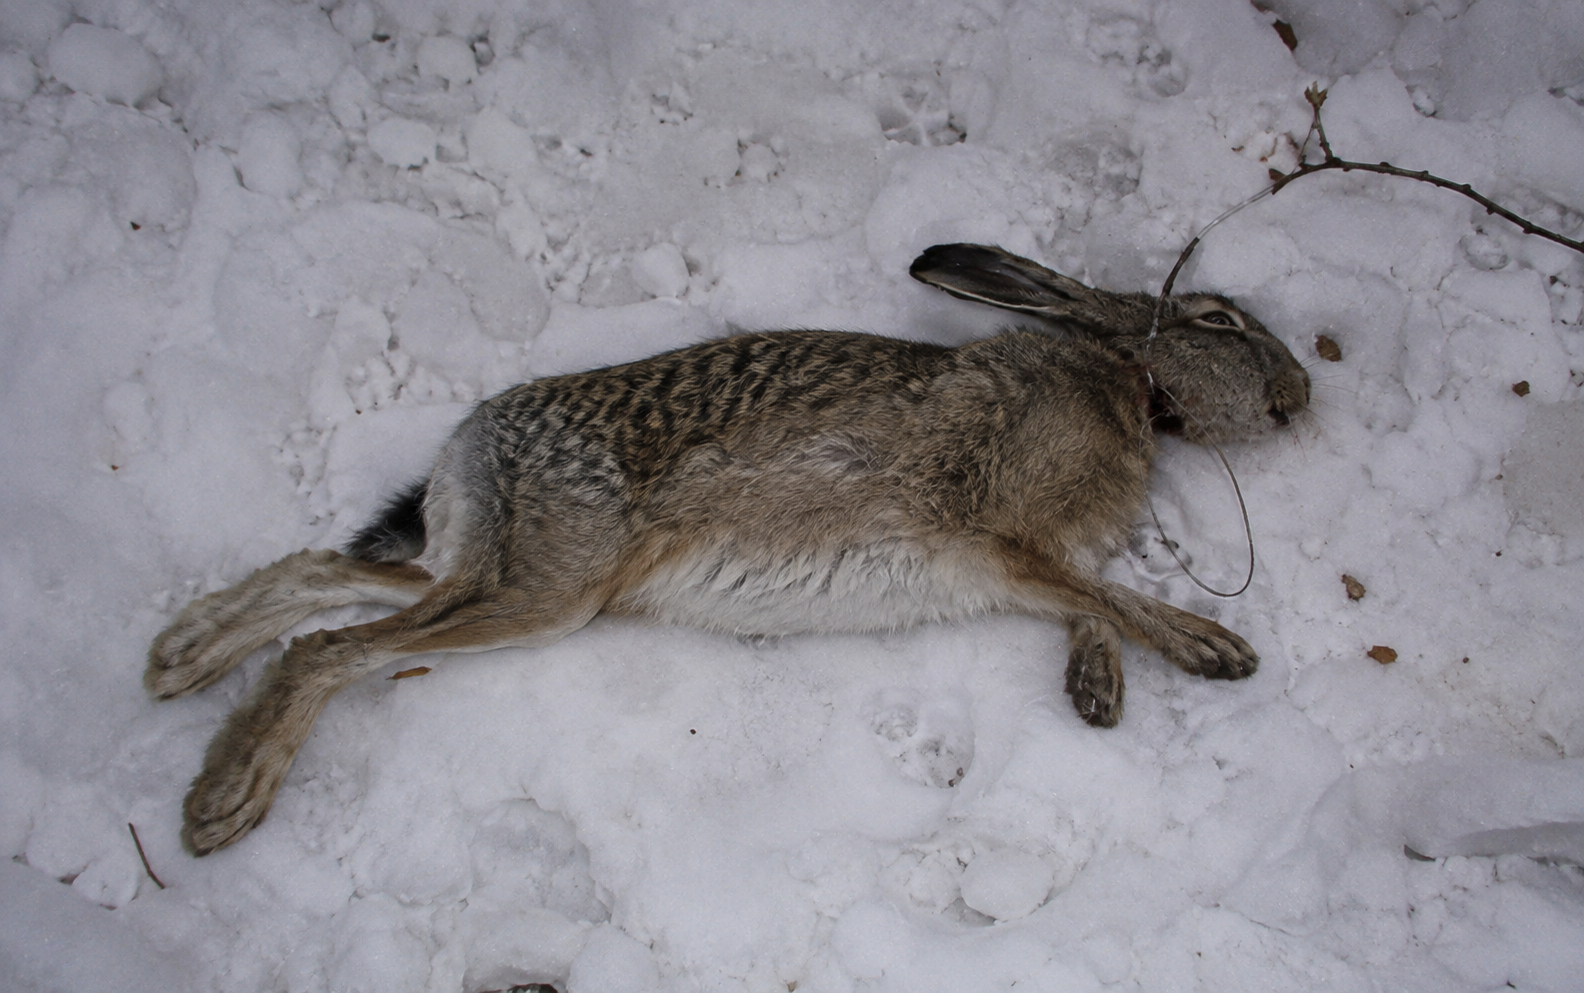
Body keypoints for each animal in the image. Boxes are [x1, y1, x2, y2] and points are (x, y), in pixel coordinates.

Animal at [147, 243, 1310, 855]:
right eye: (1219, 321)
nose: (1302, 393)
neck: (1130, 382)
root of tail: (475, 442)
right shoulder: (1001, 536)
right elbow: (1105, 595)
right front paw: (1214, 649)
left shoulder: (1031, 563)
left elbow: (1090, 600)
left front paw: (1096, 690)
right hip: (550, 584)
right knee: (329, 650)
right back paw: (223, 802)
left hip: (499, 568)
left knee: (327, 577)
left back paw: (181, 656)